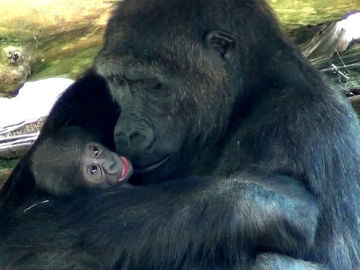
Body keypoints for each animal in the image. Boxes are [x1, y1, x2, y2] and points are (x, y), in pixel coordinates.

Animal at [0, 0, 360, 268]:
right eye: (118, 82)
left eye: (153, 85)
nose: (128, 132)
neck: (240, 101)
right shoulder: (82, 95)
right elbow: (22, 222)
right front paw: (258, 205)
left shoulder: (317, 125)